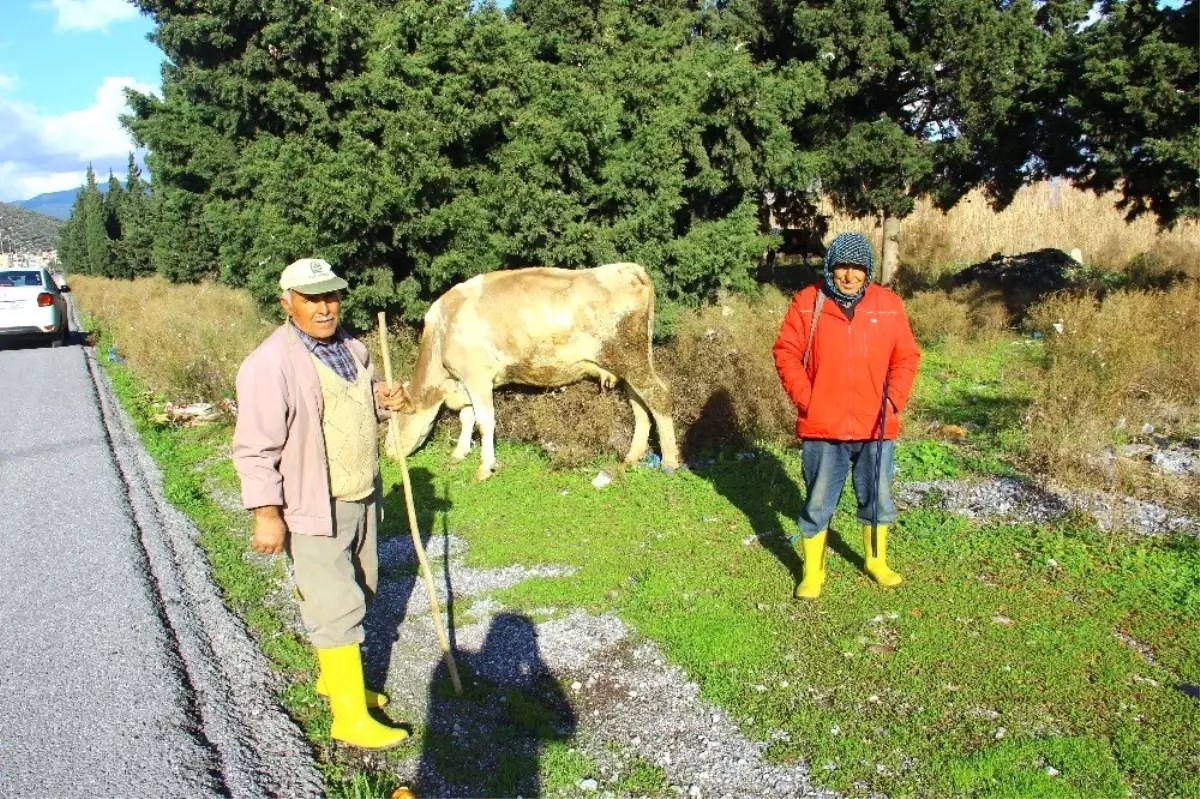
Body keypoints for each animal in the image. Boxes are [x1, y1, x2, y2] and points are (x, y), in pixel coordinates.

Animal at [388, 262, 681, 479]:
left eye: (392, 424)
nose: (388, 454)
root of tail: (628, 268)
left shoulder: (477, 376)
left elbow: (484, 421)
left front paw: (485, 467)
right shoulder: (465, 381)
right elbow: (467, 417)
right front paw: (459, 454)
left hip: (632, 358)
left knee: (658, 395)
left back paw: (669, 461)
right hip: (628, 362)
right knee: (639, 404)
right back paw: (632, 457)